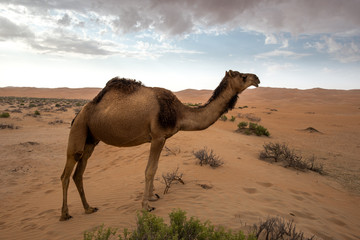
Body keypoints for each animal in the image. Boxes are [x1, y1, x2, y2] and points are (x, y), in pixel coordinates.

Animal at [60, 70, 260, 221]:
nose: (257, 78)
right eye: (243, 76)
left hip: (91, 139)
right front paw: (146, 206)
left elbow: (154, 168)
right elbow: (149, 170)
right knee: (66, 173)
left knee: (78, 173)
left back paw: (88, 208)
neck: (179, 113)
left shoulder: (162, 138)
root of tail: (79, 113)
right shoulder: (157, 137)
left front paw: (151, 197)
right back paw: (65, 215)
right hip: (79, 129)